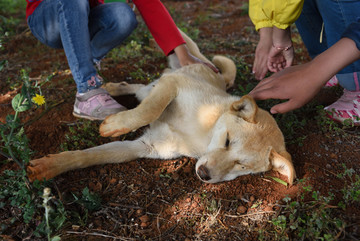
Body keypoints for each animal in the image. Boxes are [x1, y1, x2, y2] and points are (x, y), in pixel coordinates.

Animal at [27, 29, 296, 185]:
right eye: (228, 140)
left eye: (242, 166)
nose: (204, 175)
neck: (203, 134)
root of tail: (215, 72)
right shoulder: (173, 86)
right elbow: (150, 110)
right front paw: (115, 125)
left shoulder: (144, 146)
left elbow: (90, 156)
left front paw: (50, 166)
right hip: (172, 71)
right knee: (147, 87)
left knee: (138, 88)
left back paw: (113, 88)